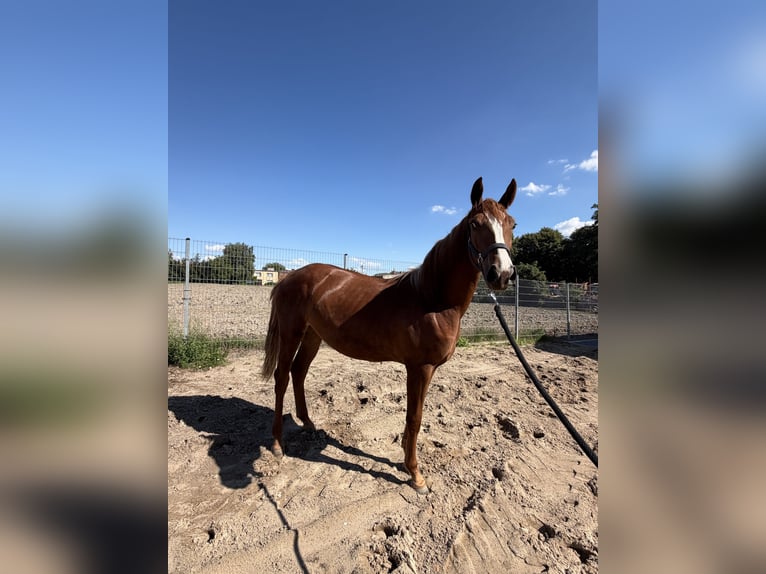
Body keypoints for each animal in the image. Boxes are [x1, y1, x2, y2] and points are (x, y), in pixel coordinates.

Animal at [261, 177, 517, 493]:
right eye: (475, 224)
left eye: (512, 224)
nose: (502, 274)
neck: (431, 298)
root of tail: (287, 278)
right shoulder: (419, 368)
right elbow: (414, 418)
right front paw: (416, 475)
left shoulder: (428, 370)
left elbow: (415, 417)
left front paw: (406, 461)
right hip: (291, 333)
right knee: (282, 378)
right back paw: (277, 444)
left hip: (312, 336)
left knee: (298, 372)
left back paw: (308, 424)